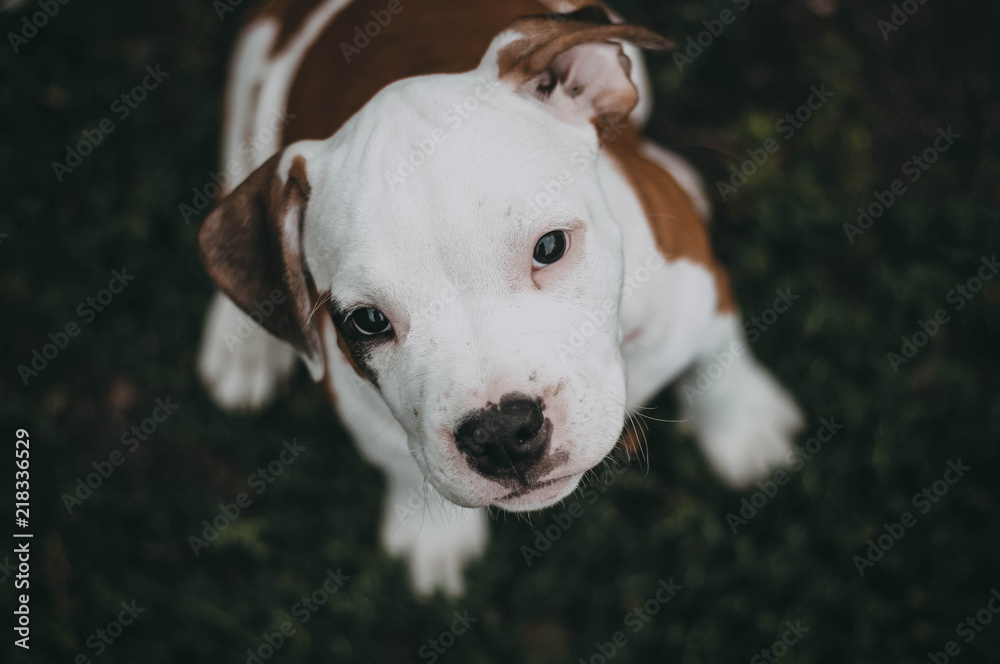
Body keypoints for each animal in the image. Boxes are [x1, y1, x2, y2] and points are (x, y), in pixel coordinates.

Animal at [197, 0, 804, 596]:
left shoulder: (695, 289)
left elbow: (719, 362)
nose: (501, 435)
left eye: (550, 246)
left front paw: (747, 431)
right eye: (367, 321)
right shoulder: (360, 404)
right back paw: (242, 347)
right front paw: (433, 535)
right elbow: (401, 462)